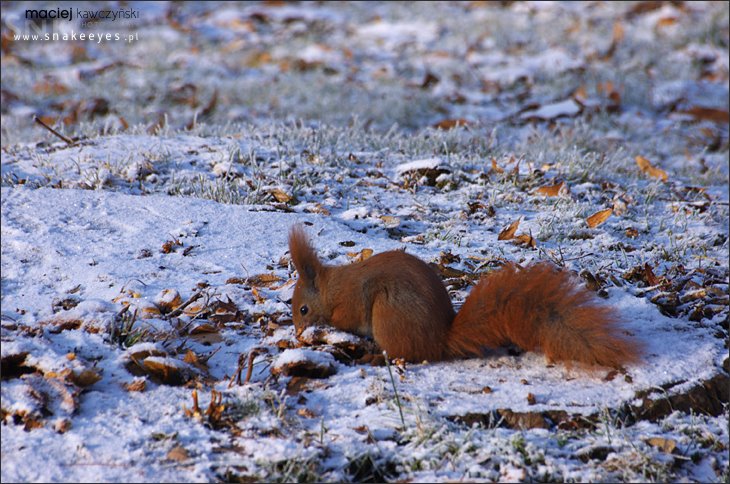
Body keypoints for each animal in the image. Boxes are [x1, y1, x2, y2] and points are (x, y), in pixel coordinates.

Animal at [288, 226, 640, 366]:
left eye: (303, 309)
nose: (297, 333)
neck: (331, 287)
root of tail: (438, 340)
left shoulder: (349, 301)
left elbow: (345, 318)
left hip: (389, 314)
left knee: (406, 355)